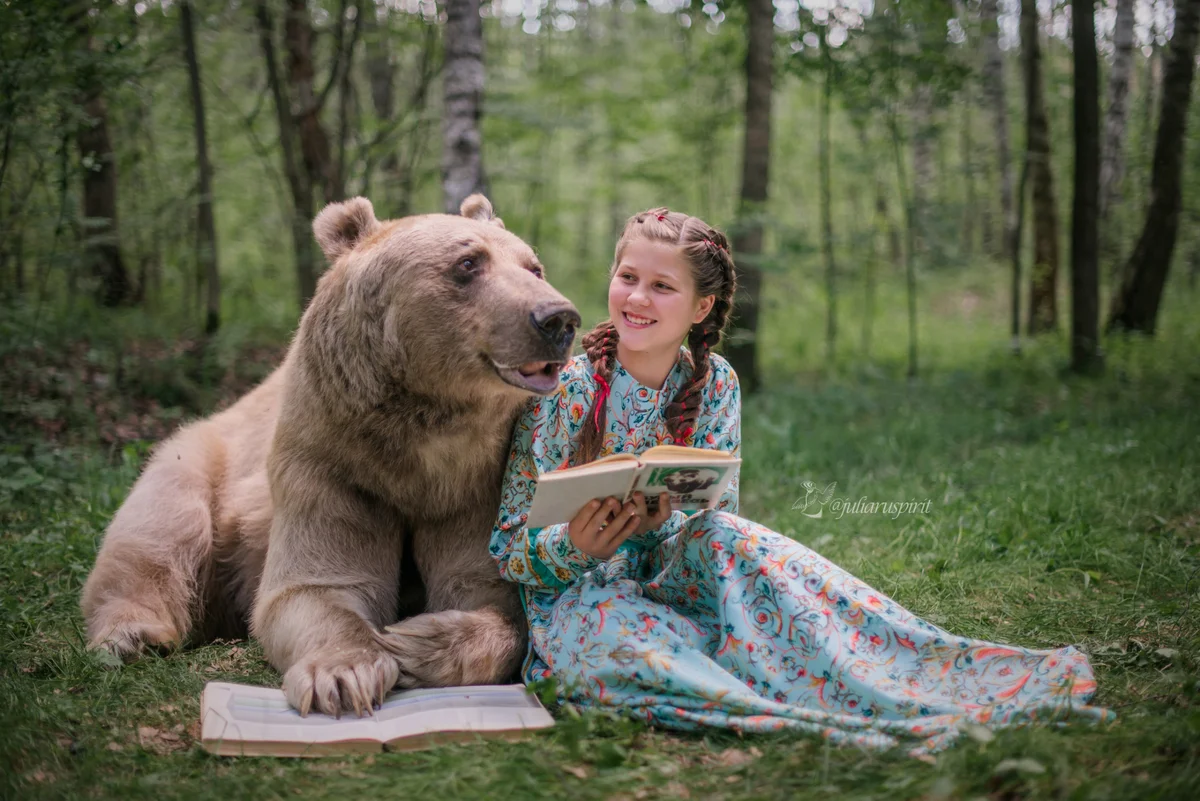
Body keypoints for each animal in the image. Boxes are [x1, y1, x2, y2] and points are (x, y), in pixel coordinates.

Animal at [81, 196, 580, 714]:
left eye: (533, 265)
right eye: (468, 262)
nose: (557, 318)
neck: (421, 431)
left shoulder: (477, 480)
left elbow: (485, 591)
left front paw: (414, 640)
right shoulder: (330, 459)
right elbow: (318, 583)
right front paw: (344, 673)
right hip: (199, 459)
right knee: (159, 532)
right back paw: (132, 635)